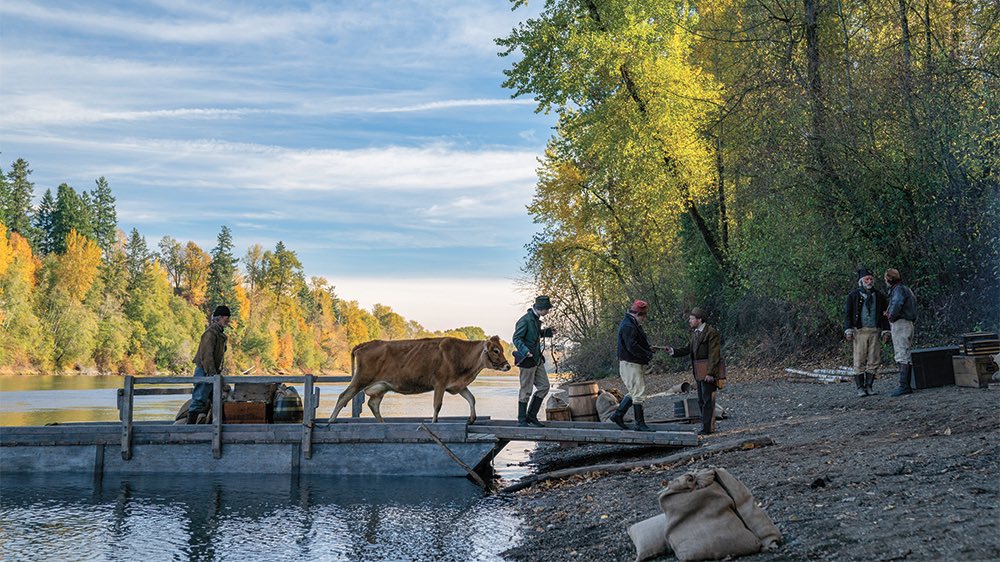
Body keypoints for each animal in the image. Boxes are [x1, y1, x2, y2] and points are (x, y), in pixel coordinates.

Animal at [328, 335, 511, 424]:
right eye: (495, 350)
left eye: (501, 349)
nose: (508, 366)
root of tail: (365, 344)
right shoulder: (440, 383)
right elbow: (437, 405)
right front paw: (434, 421)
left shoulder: (457, 385)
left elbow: (472, 399)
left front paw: (472, 419)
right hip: (361, 378)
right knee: (344, 396)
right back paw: (331, 420)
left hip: (380, 387)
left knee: (373, 404)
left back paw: (382, 423)